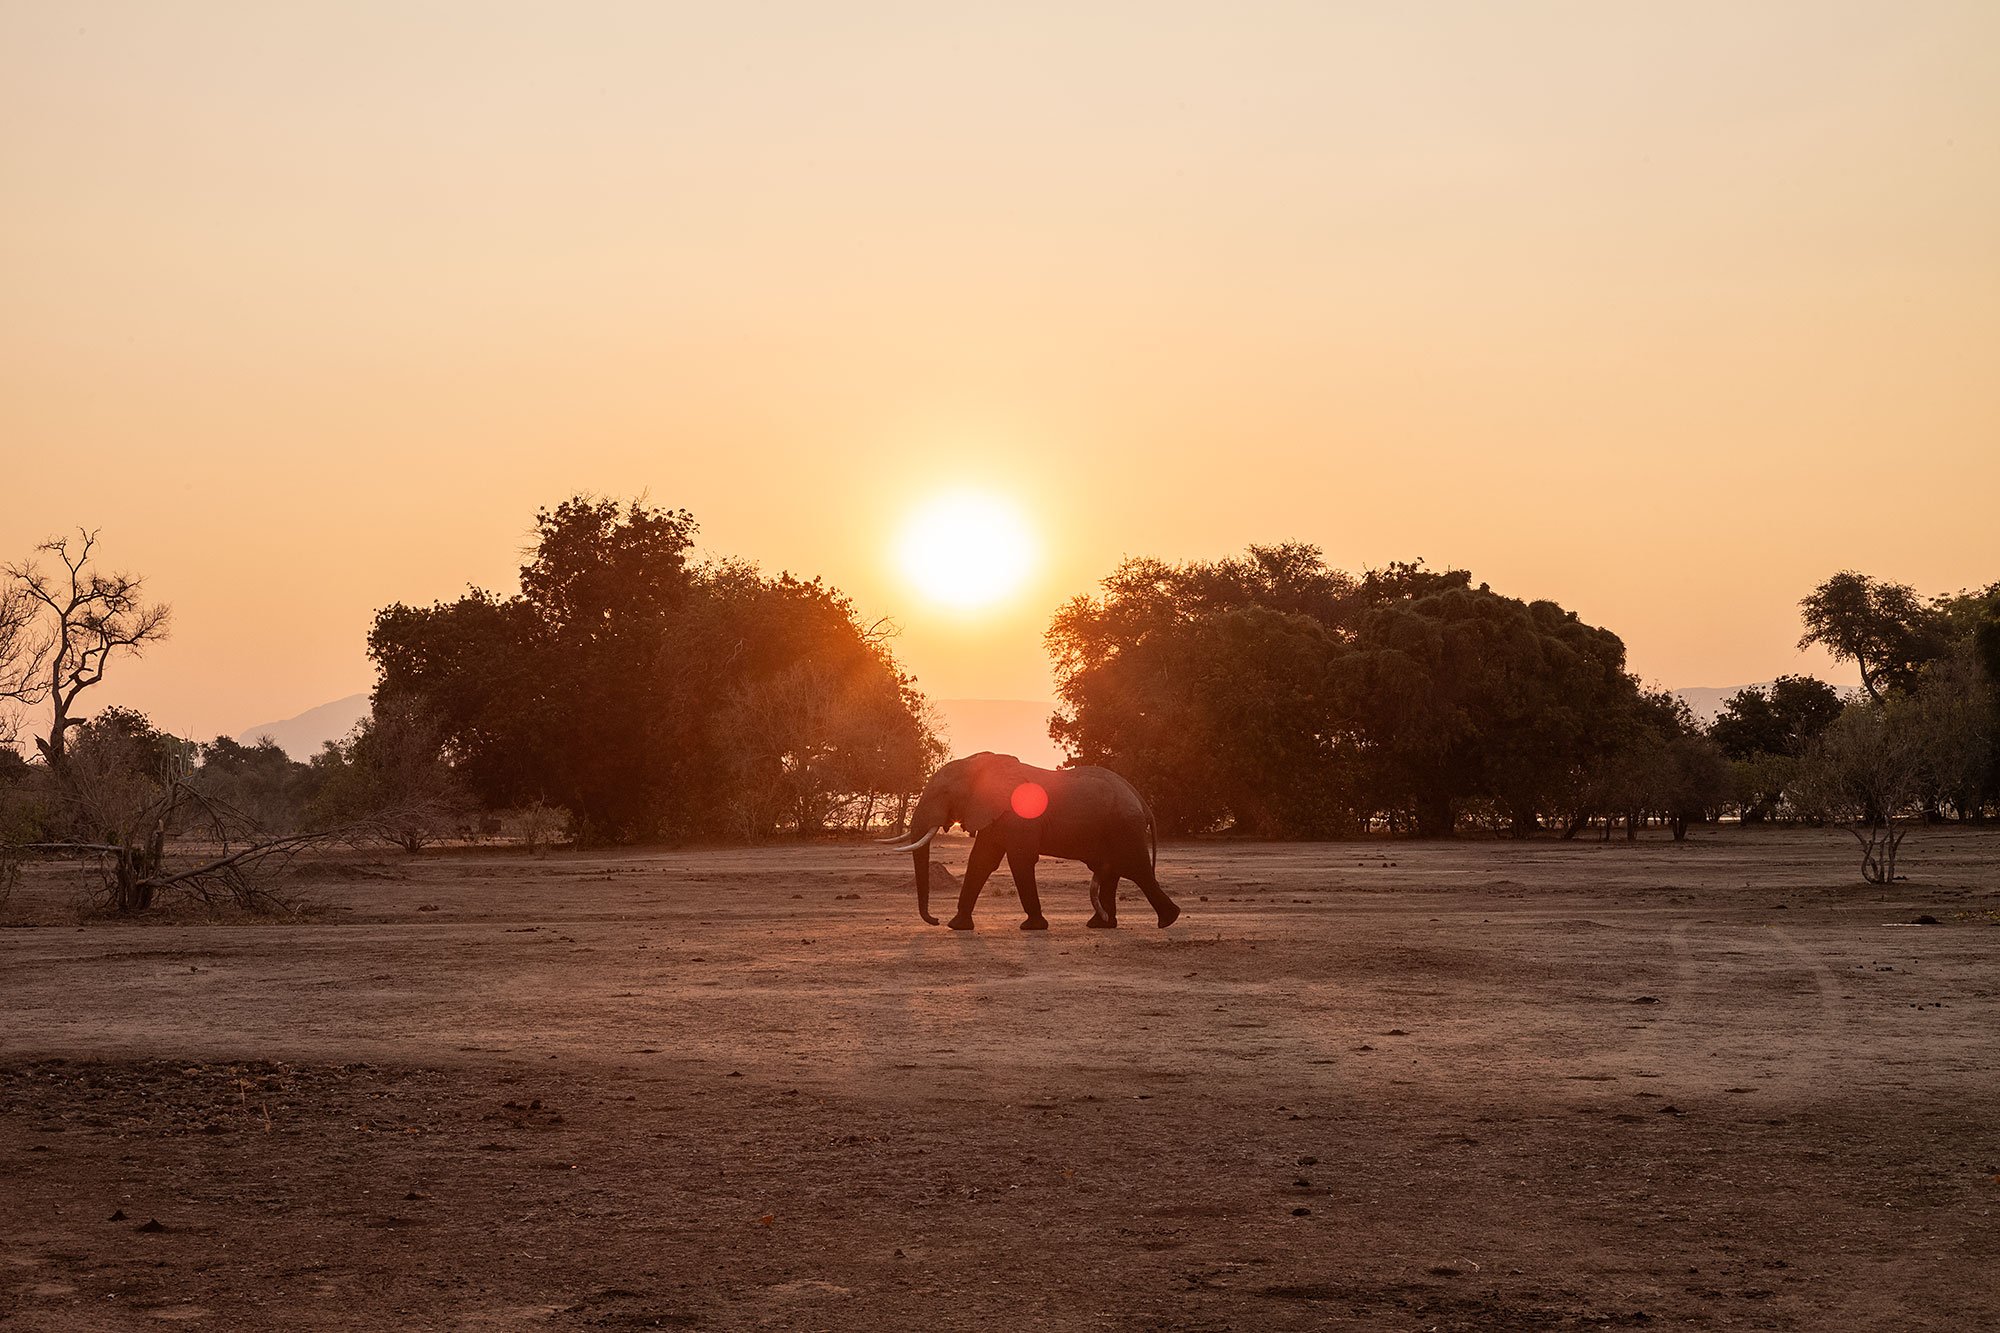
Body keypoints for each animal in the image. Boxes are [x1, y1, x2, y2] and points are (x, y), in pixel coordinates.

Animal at [880, 752, 1181, 931]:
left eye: (943, 793)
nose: (935, 920)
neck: (979, 764)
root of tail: (1140, 798)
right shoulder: (995, 814)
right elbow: (981, 862)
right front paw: (957, 925)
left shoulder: (1019, 816)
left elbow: (1020, 860)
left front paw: (1033, 926)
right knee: (1113, 871)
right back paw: (1100, 924)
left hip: (1124, 826)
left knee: (1135, 868)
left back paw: (1168, 920)